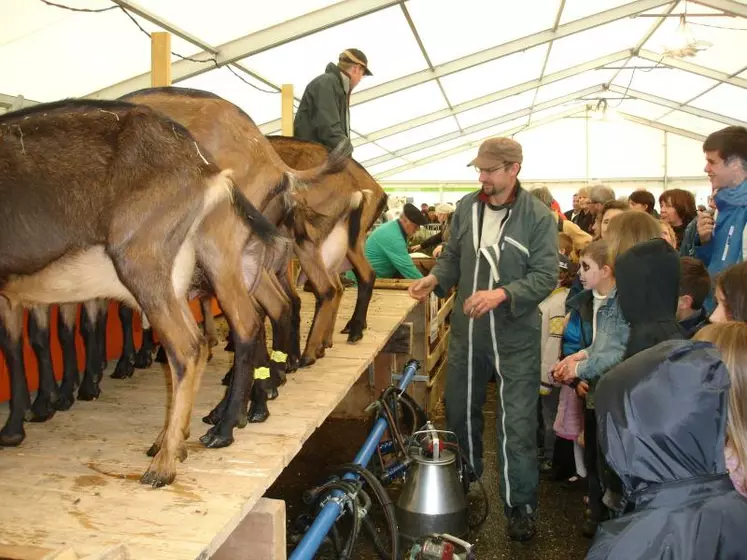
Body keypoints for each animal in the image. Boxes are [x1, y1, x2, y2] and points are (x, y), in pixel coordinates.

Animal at [0, 100, 280, 486]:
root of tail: (206, 169)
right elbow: (21, 345)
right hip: (186, 272)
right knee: (226, 330)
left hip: (147, 261)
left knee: (196, 345)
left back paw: (172, 459)